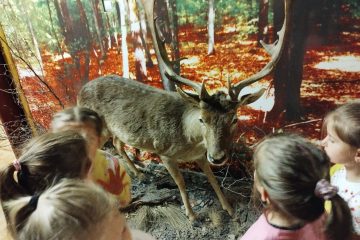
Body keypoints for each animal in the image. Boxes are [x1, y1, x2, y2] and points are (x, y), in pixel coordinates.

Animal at [78, 0, 290, 221]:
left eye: (234, 119)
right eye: (202, 119)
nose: (217, 157)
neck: (189, 141)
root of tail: (80, 90)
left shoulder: (200, 155)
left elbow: (213, 178)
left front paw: (229, 208)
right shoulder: (164, 152)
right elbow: (181, 182)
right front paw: (191, 214)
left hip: (116, 130)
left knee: (118, 143)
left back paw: (139, 173)